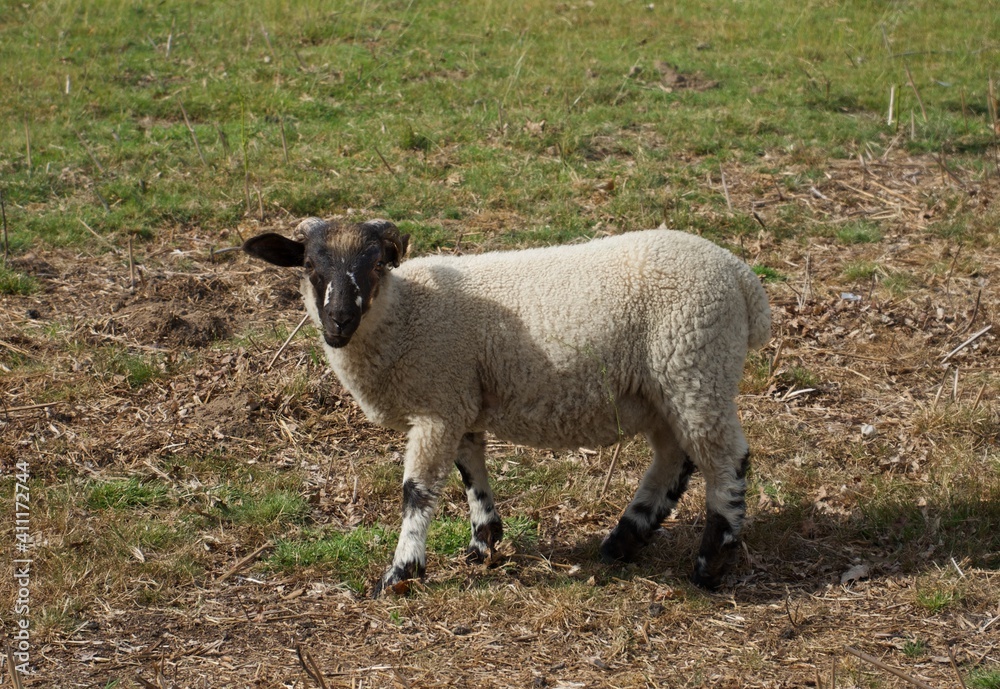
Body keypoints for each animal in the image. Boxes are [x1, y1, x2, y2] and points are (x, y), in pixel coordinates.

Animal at [243, 217, 771, 594]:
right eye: (311, 267)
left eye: (375, 266)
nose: (338, 320)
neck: (407, 313)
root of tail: (743, 278)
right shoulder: (460, 398)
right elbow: (470, 469)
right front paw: (483, 542)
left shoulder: (439, 400)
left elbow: (417, 491)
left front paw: (401, 572)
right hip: (664, 388)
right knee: (674, 458)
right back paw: (624, 539)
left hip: (695, 367)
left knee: (727, 462)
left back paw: (709, 565)